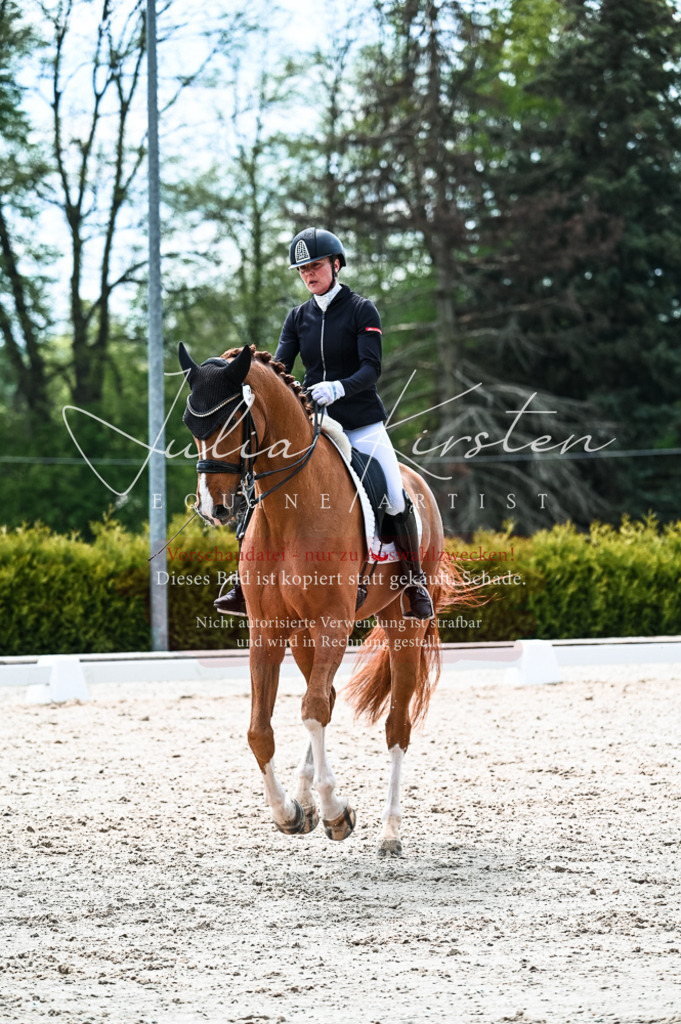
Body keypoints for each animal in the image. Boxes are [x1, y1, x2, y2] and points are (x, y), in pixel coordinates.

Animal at [179, 342, 464, 857]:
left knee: (395, 725)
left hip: (403, 625)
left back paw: (390, 832)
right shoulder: (268, 630)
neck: (289, 507)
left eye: (233, 419)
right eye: (192, 423)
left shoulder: (333, 622)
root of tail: (418, 484)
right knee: (325, 695)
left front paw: (336, 812)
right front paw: (292, 812)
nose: (215, 508)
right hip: (303, 636)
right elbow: (261, 729)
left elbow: (313, 711)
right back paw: (306, 797)